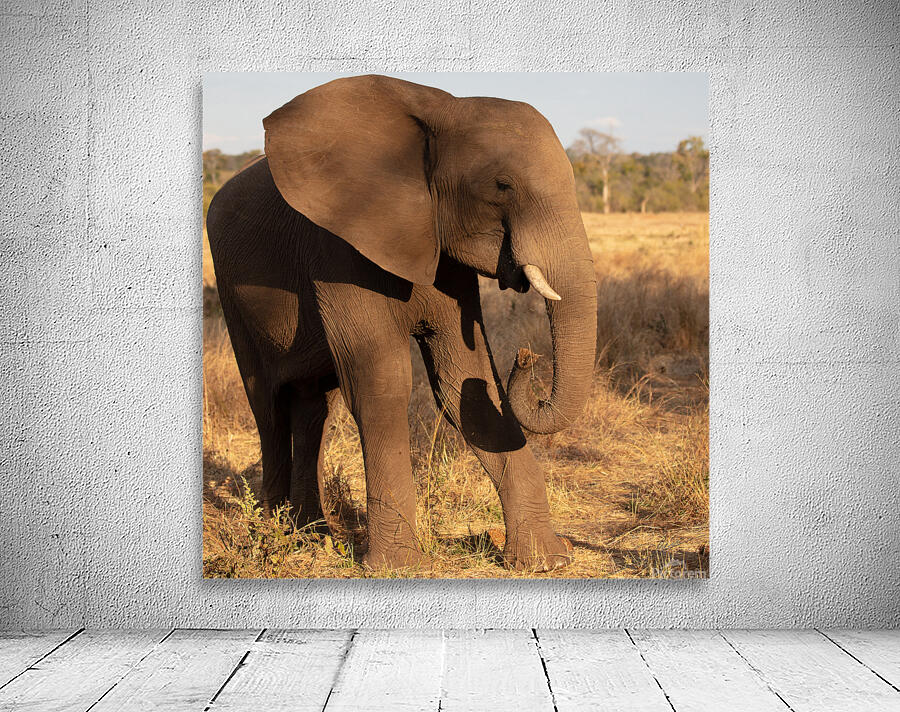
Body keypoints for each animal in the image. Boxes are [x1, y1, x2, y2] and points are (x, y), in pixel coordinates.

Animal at [206, 75, 597, 572]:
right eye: (502, 185)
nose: (526, 357)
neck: (442, 110)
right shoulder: (339, 248)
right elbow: (383, 384)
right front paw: (400, 567)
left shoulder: (444, 254)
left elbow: (464, 382)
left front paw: (545, 561)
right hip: (234, 295)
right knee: (268, 404)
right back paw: (276, 534)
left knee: (315, 411)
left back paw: (311, 536)